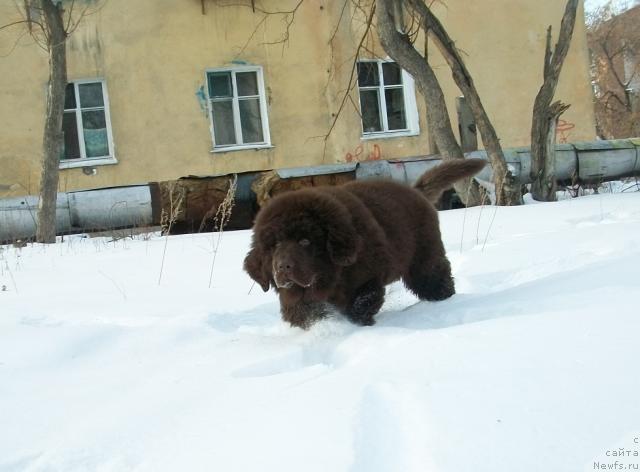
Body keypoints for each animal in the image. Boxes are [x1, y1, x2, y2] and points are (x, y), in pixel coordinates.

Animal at [244, 159, 484, 328]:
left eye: (305, 241)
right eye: (274, 245)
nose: (283, 266)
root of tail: (416, 190)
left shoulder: (366, 280)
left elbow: (359, 305)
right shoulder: (294, 297)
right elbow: (305, 312)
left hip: (424, 258)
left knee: (434, 278)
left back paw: (444, 301)